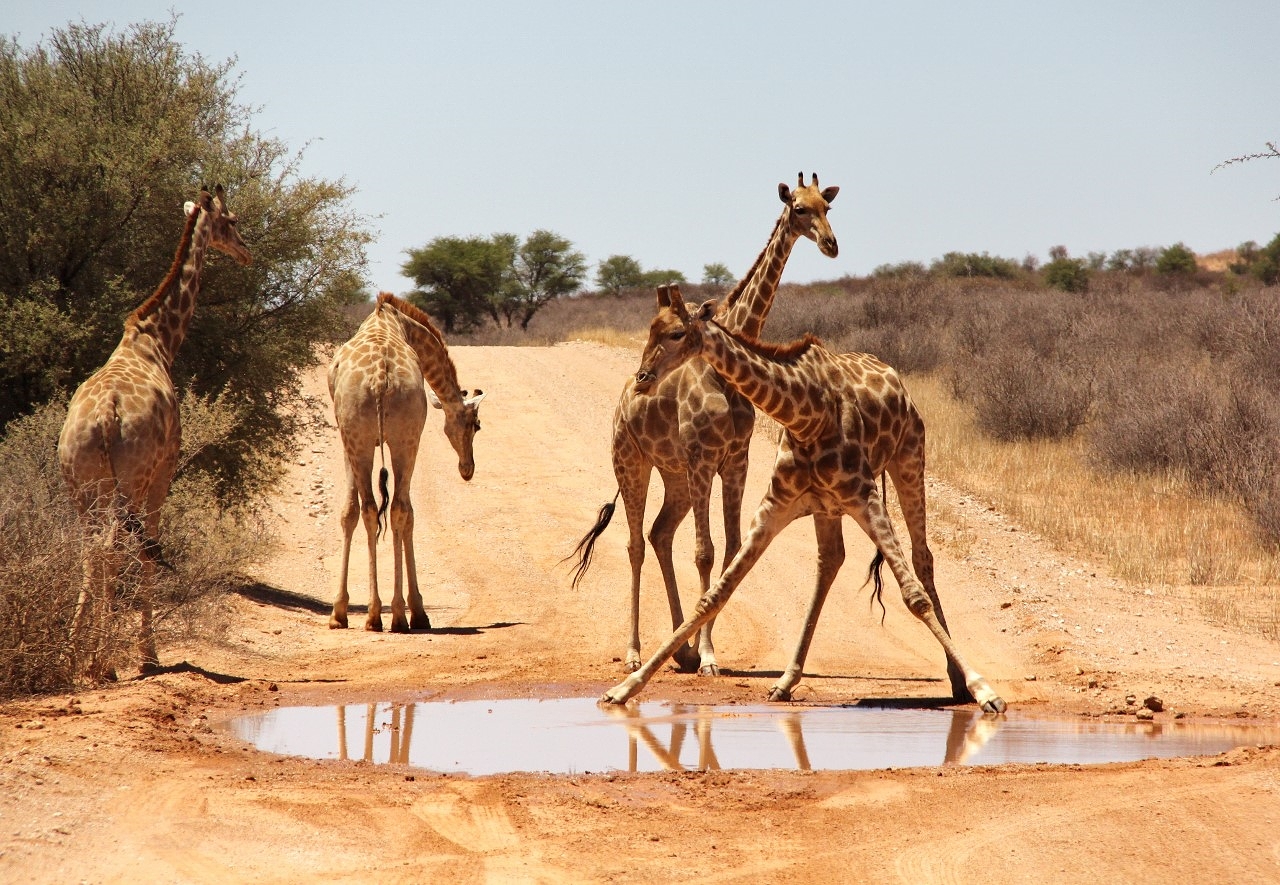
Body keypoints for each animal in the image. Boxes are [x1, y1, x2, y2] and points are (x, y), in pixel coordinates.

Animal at [58, 185, 252, 673]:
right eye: (232, 221)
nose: (246, 252)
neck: (158, 340)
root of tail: (105, 418)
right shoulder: (165, 470)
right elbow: (149, 548)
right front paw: (148, 653)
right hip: (127, 481)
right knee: (112, 549)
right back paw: (101, 662)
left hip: (79, 484)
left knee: (89, 551)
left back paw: (72, 654)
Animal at [327, 292, 485, 633]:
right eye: (476, 425)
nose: (467, 469)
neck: (401, 323)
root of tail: (379, 379)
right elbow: (376, 513)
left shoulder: (350, 441)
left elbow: (351, 512)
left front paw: (341, 610)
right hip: (399, 440)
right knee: (396, 509)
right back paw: (397, 615)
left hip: (369, 440)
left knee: (378, 509)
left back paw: (380, 614)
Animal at [568, 173, 839, 677]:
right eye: (797, 208)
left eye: (827, 207)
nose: (831, 244)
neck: (723, 376)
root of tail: (621, 404)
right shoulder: (702, 456)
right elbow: (705, 551)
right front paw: (709, 655)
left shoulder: (735, 458)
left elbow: (729, 548)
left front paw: (702, 650)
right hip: (631, 464)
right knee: (635, 543)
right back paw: (636, 653)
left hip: (674, 475)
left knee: (659, 533)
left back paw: (680, 648)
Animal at [601, 285, 1005, 715]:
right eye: (650, 330)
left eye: (676, 333)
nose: (643, 379)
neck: (805, 414)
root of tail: (895, 376)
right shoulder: (775, 505)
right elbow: (714, 596)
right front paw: (626, 687)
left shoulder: (865, 495)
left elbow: (915, 598)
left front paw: (985, 690)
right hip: (824, 506)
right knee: (830, 561)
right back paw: (786, 680)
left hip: (909, 459)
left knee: (922, 557)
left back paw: (957, 682)